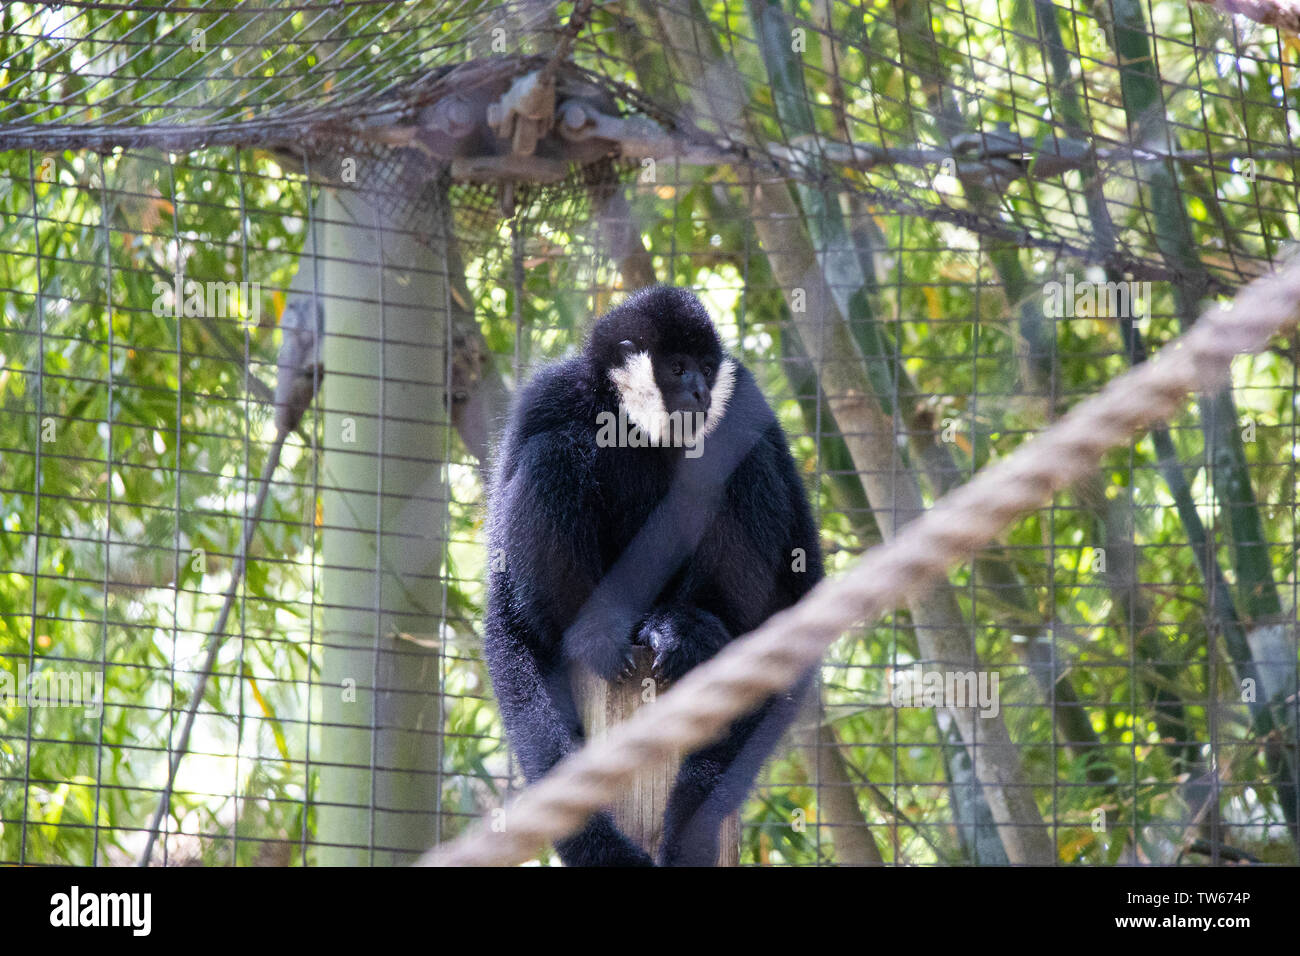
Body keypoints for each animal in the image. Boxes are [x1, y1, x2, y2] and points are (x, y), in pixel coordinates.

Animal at [483, 286, 822, 866]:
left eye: (707, 368)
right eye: (677, 367)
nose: (700, 390)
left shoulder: (746, 399)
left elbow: (795, 604)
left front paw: (687, 826)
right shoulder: (548, 399)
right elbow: (511, 628)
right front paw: (598, 846)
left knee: (736, 456)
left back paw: (687, 627)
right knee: (554, 449)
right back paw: (597, 630)